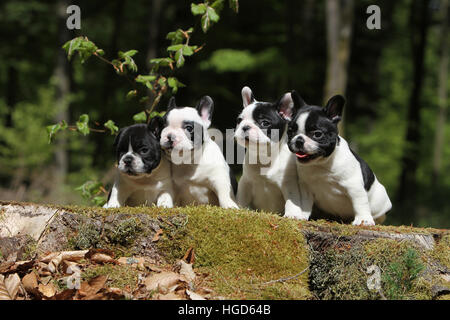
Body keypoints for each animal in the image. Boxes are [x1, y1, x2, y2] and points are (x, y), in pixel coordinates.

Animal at [236, 86, 306, 219]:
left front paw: (292, 214)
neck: (265, 155)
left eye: (265, 123)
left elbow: (292, 199)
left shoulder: (289, 184)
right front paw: (239, 208)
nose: (245, 126)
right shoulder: (246, 182)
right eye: (239, 120)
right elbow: (242, 197)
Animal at [288, 90, 390, 225]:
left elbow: (360, 203)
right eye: (290, 131)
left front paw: (363, 220)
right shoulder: (306, 188)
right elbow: (305, 203)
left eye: (317, 134)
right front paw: (301, 215)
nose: (299, 140)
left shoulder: (354, 187)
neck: (321, 163)